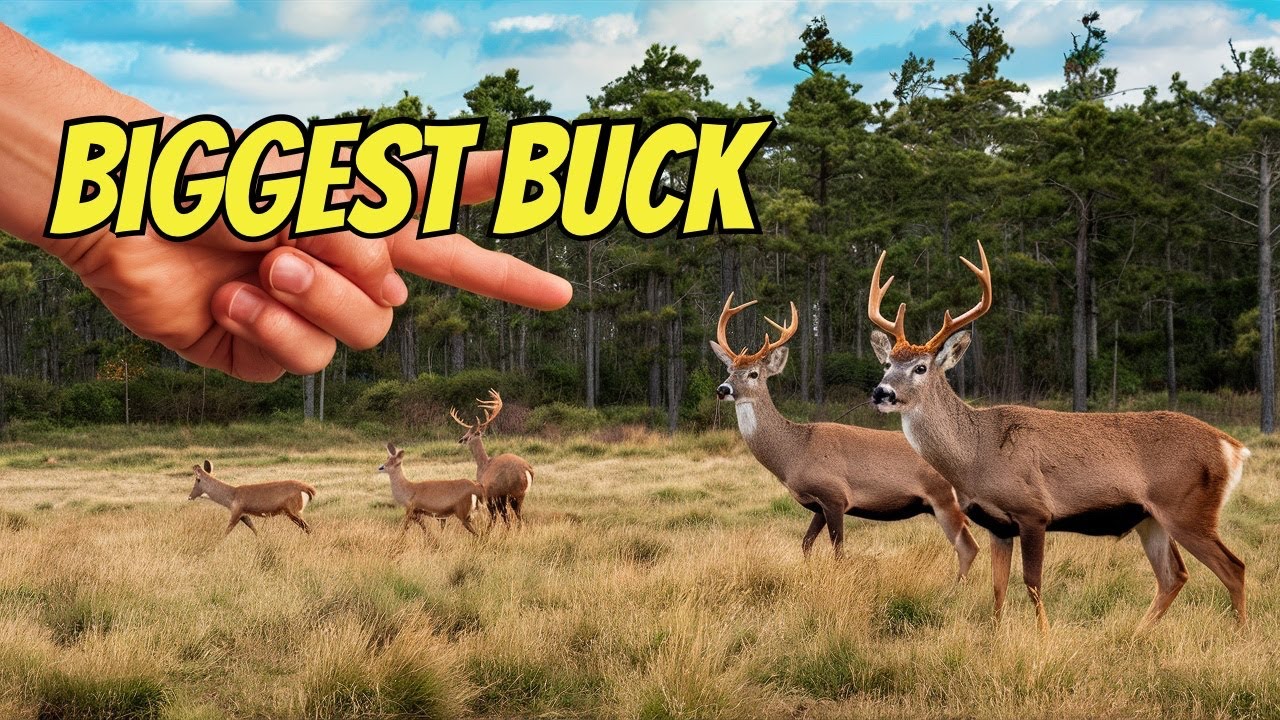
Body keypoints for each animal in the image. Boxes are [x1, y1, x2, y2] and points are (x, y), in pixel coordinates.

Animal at [187, 460, 316, 537]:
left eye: (197, 480)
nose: (189, 496)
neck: (233, 493)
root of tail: (307, 488)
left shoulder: (235, 514)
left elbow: (226, 532)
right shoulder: (244, 515)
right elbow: (254, 530)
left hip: (293, 513)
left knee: (308, 529)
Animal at [450, 390, 534, 529]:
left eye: (468, 435)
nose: (461, 439)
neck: (483, 465)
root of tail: (527, 470)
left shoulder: (489, 492)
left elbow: (494, 517)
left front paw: (488, 531)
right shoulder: (500, 496)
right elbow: (504, 518)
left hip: (515, 492)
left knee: (518, 517)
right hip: (519, 495)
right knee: (520, 517)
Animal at [711, 294, 980, 575]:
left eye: (753, 373)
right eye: (730, 369)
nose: (723, 389)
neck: (794, 453)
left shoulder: (834, 495)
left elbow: (838, 551)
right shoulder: (818, 504)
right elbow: (805, 543)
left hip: (946, 500)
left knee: (970, 547)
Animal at [867, 241, 1249, 630]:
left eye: (920, 367)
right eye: (887, 364)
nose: (881, 392)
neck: (976, 455)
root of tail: (1233, 447)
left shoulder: (1034, 510)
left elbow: (1032, 582)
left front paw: (1043, 635)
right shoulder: (997, 525)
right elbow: (998, 588)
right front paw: (995, 634)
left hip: (1188, 508)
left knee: (1234, 568)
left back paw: (1240, 633)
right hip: (1151, 517)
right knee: (1174, 575)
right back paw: (1137, 634)